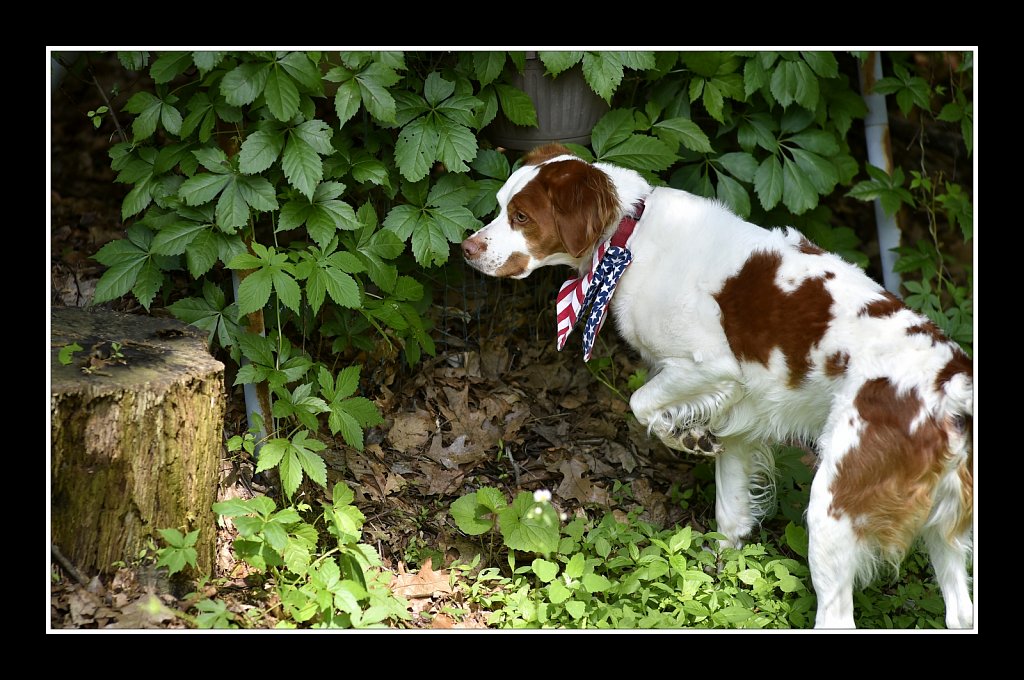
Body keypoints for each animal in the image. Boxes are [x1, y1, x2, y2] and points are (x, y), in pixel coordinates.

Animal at [464, 142, 974, 626]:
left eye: (521, 216)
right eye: (499, 205)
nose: (467, 248)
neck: (631, 236)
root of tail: (949, 389)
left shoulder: (711, 368)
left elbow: (640, 402)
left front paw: (687, 438)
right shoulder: (742, 419)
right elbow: (730, 515)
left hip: (834, 506)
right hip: (943, 535)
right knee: (959, 612)